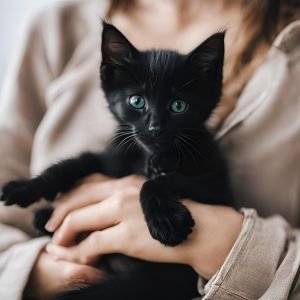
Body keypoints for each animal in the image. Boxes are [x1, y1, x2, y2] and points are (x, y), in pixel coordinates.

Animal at [0, 22, 232, 298]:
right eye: (137, 101)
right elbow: (69, 165)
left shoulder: (220, 188)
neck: (147, 155)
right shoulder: (111, 158)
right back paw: (44, 217)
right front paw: (25, 187)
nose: (154, 128)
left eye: (178, 106)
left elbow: (155, 182)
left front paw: (165, 222)